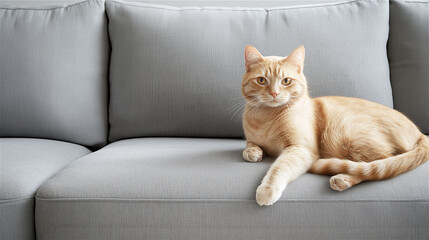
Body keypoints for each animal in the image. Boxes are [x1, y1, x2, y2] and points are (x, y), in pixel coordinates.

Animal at [241, 45, 428, 206]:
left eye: (286, 81)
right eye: (261, 80)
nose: (274, 93)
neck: (266, 118)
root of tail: (420, 134)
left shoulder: (301, 149)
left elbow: (278, 168)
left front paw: (267, 189)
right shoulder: (252, 139)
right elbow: (248, 146)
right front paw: (253, 152)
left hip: (352, 135)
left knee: (379, 165)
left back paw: (343, 179)